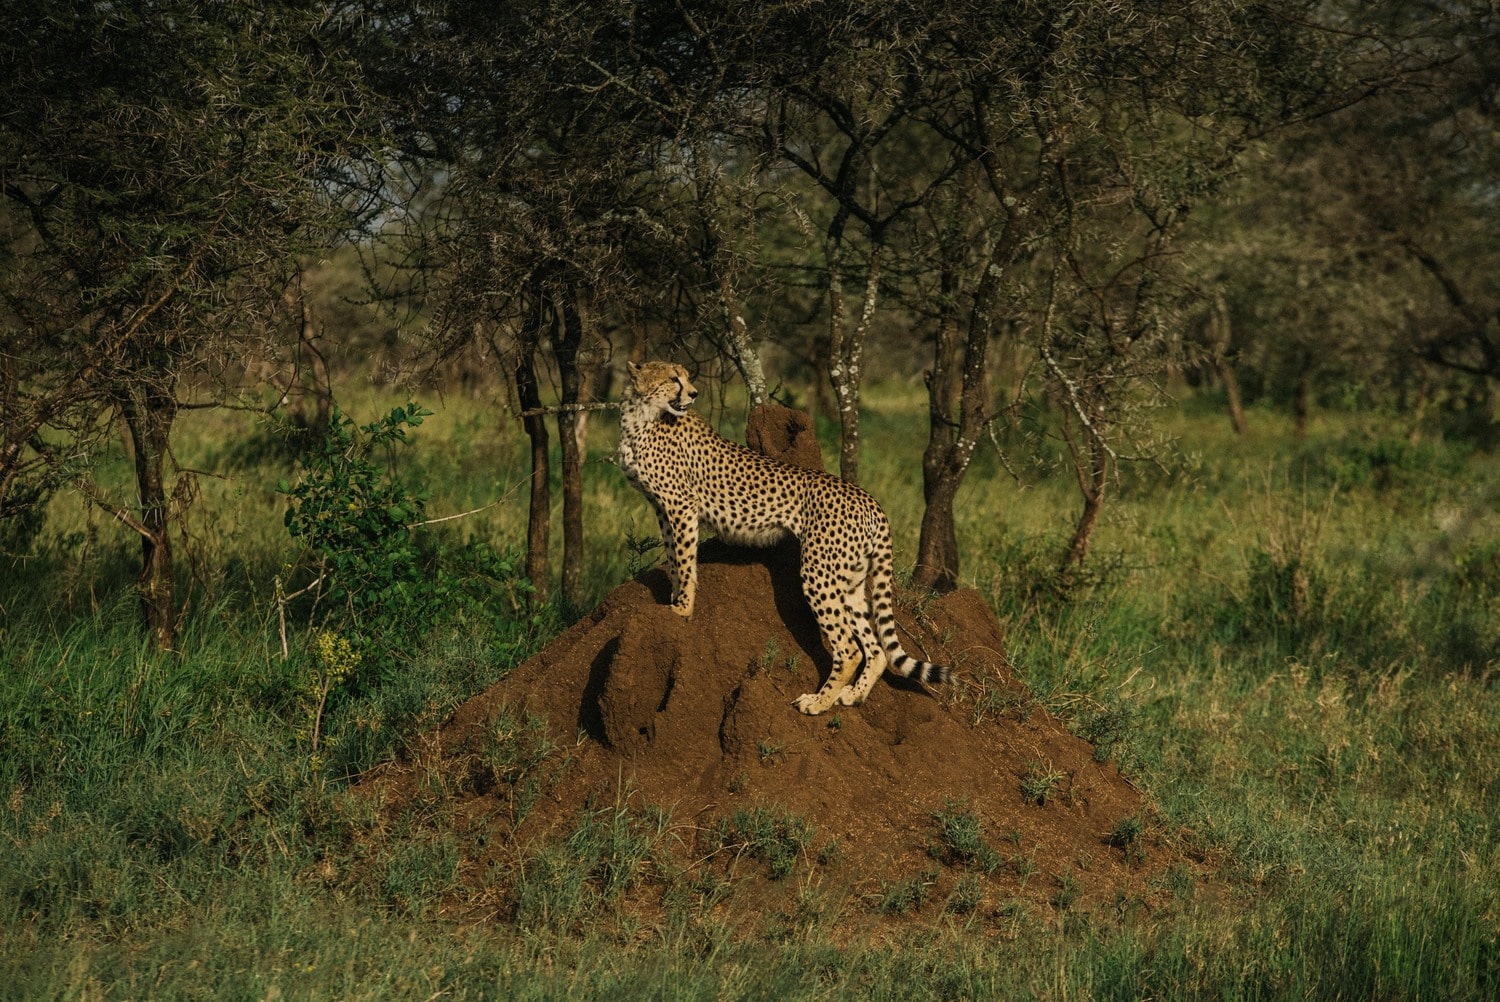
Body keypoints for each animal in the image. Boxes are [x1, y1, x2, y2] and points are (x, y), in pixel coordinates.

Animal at [616, 359, 950, 715]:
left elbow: (684, 559)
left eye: (687, 378)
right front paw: (673, 602)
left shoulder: (681, 505)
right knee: (875, 648)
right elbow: (674, 557)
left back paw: (817, 703)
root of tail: (868, 498)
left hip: (819, 573)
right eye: (672, 378)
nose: (693, 393)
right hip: (851, 579)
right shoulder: (662, 508)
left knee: (849, 648)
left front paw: (681, 610)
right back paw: (853, 695)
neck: (641, 415)